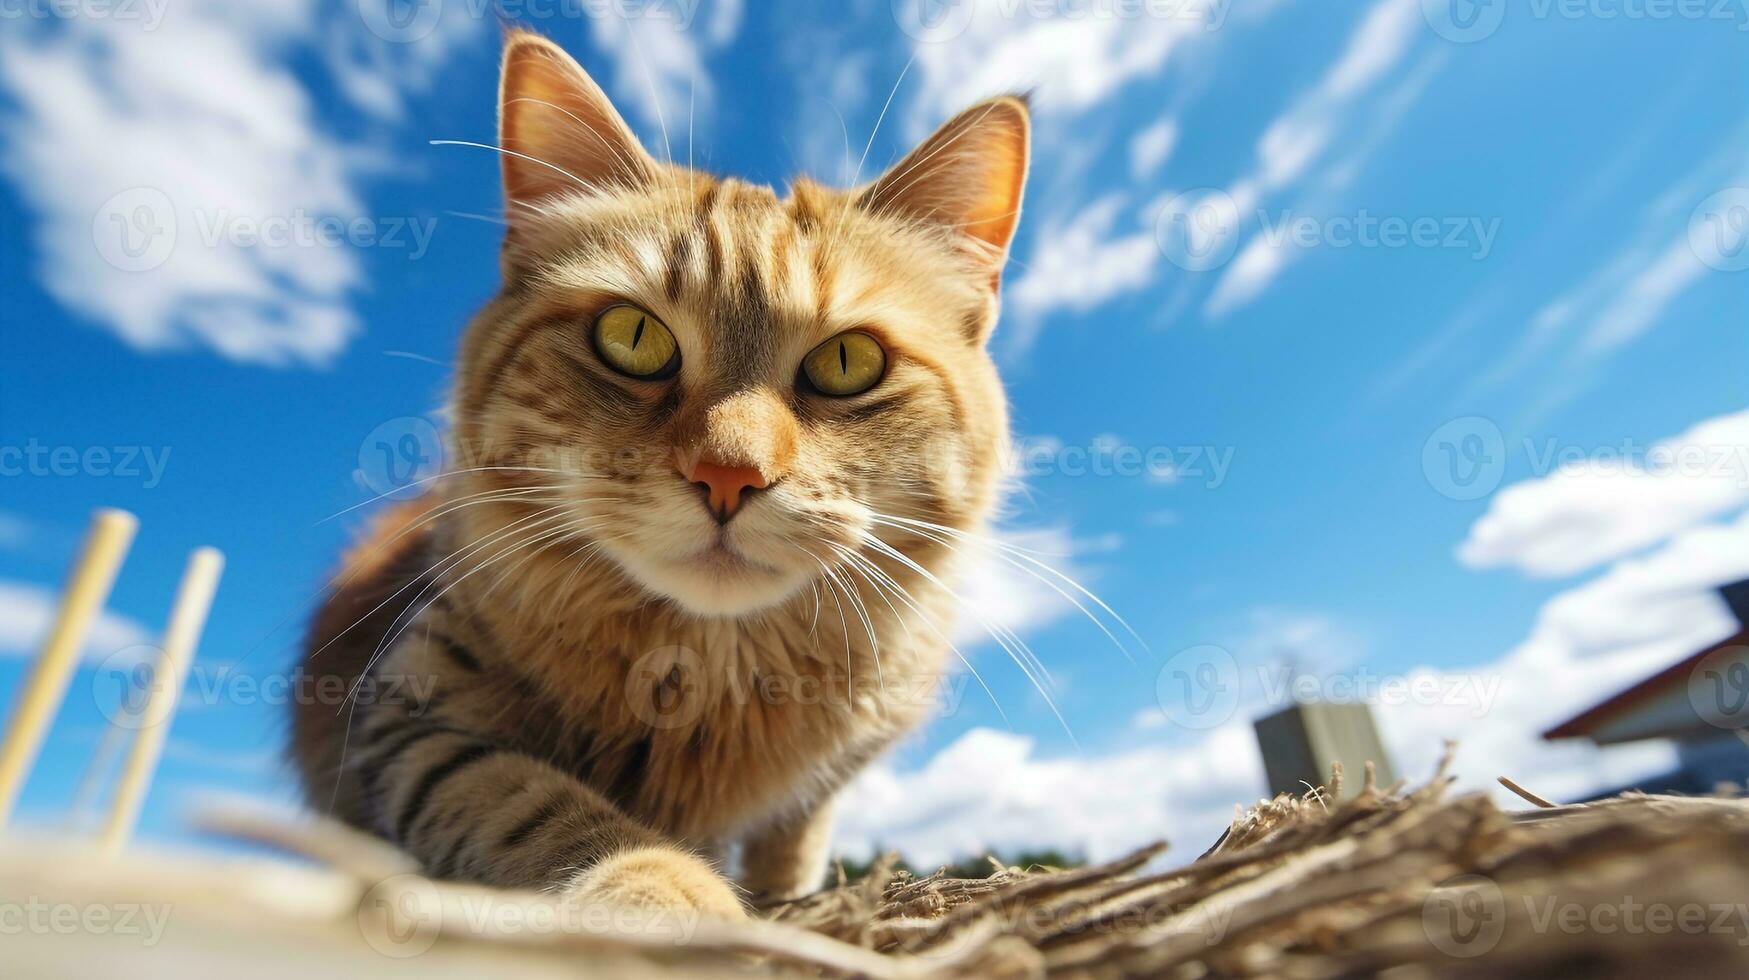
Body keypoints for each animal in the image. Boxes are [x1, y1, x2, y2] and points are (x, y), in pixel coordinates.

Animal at [286, 28, 1021, 917]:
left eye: (848, 362)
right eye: (632, 339)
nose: (727, 475)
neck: (709, 679)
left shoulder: (831, 778)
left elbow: (793, 840)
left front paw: (782, 903)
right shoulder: (412, 716)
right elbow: (530, 801)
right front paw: (663, 888)